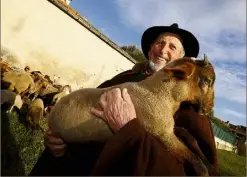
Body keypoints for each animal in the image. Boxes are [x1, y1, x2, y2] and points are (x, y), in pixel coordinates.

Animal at [47, 55, 215, 176]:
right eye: (208, 80)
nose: (210, 107)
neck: (159, 93)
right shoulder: (162, 134)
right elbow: (196, 162)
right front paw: (205, 167)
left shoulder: (169, 129)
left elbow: (189, 135)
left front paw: (206, 159)